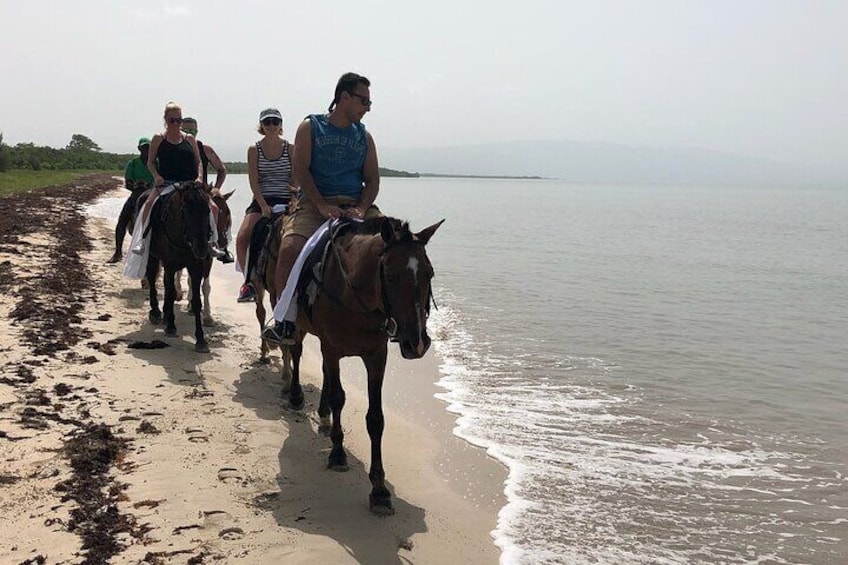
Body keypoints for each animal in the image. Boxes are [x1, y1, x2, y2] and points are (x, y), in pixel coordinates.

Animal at [284, 216, 444, 516]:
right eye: (391, 276)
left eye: (429, 274)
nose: (416, 343)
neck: (353, 295)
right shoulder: (332, 349)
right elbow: (338, 397)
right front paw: (337, 454)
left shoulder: (376, 356)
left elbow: (376, 418)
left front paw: (379, 490)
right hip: (299, 326)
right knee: (296, 352)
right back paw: (295, 395)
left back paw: (322, 416)